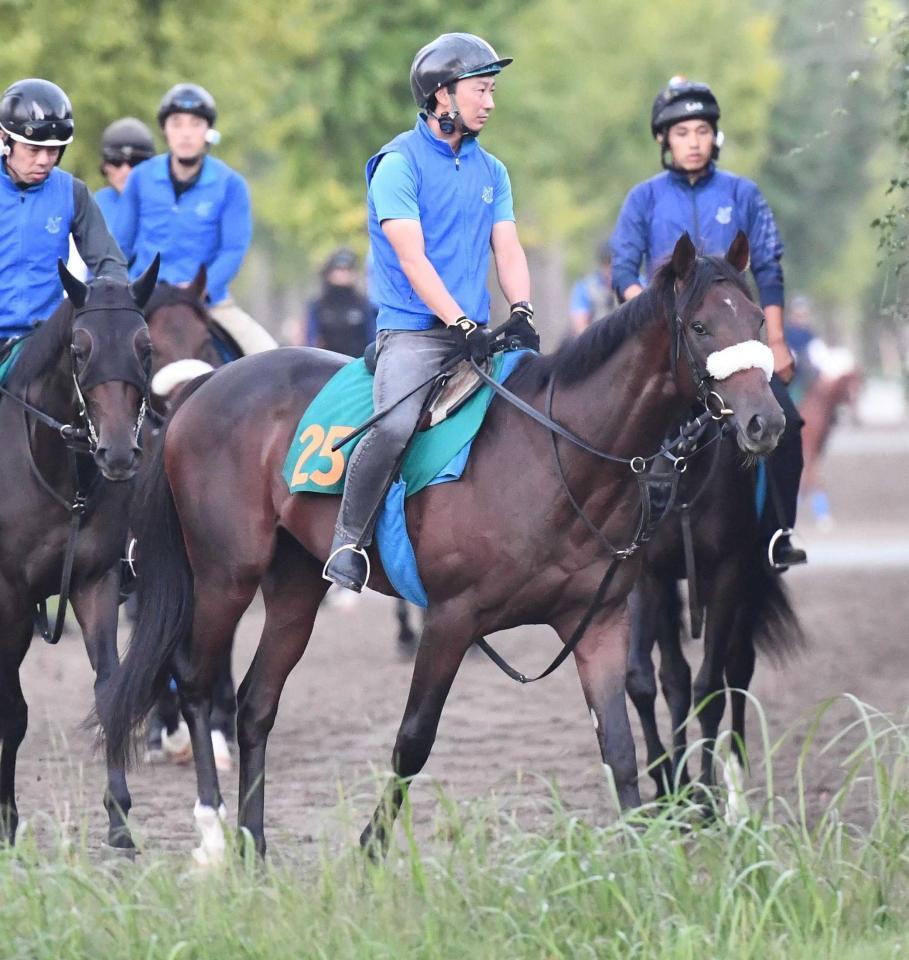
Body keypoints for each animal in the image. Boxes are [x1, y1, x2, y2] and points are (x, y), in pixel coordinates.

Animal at [0, 258, 157, 844]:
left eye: (144, 346)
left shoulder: (95, 583)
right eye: (79, 348)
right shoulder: (9, 597)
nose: (117, 453)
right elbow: (12, 712)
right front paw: (7, 819)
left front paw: (119, 820)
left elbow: (110, 692)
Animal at [97, 234, 780, 864]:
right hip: (225, 575)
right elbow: (413, 740)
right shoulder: (452, 619)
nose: (764, 423)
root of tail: (202, 388)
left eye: (755, 320)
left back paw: (253, 844)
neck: (556, 454)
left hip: (295, 584)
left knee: (256, 704)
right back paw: (213, 836)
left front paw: (642, 858)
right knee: (195, 679)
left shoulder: (598, 624)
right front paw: (370, 849)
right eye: (700, 325)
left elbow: (617, 745)